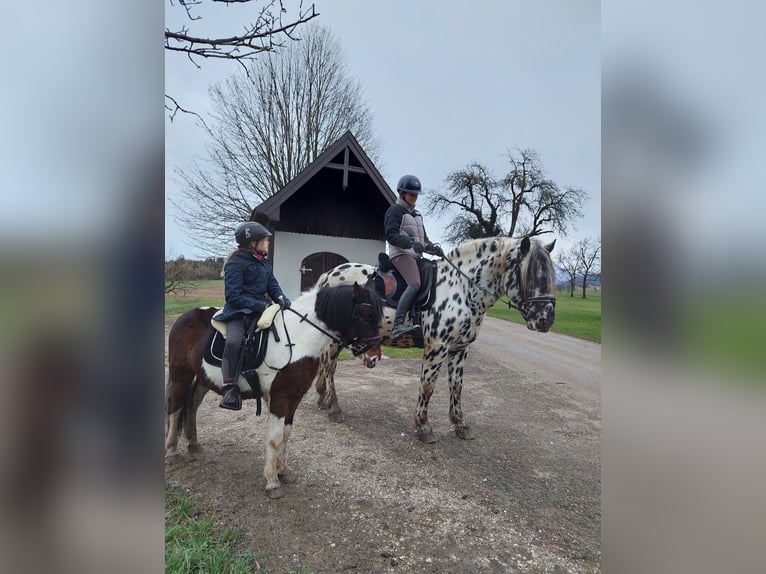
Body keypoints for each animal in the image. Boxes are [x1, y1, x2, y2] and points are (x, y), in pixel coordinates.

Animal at [167, 284, 384, 500]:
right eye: (365, 316)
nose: (375, 358)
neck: (298, 337)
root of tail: (185, 316)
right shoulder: (280, 398)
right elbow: (274, 438)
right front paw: (272, 481)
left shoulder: (295, 397)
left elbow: (286, 435)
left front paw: (283, 471)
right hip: (180, 375)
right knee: (175, 407)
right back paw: (171, 451)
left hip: (204, 378)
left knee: (192, 405)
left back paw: (194, 445)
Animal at [312, 236, 560, 444]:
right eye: (531, 276)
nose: (546, 320)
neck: (462, 290)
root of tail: (328, 275)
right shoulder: (437, 348)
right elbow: (428, 385)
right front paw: (423, 427)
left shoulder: (460, 349)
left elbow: (457, 386)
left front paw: (460, 424)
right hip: (337, 337)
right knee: (330, 366)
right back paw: (334, 408)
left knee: (325, 363)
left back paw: (323, 398)